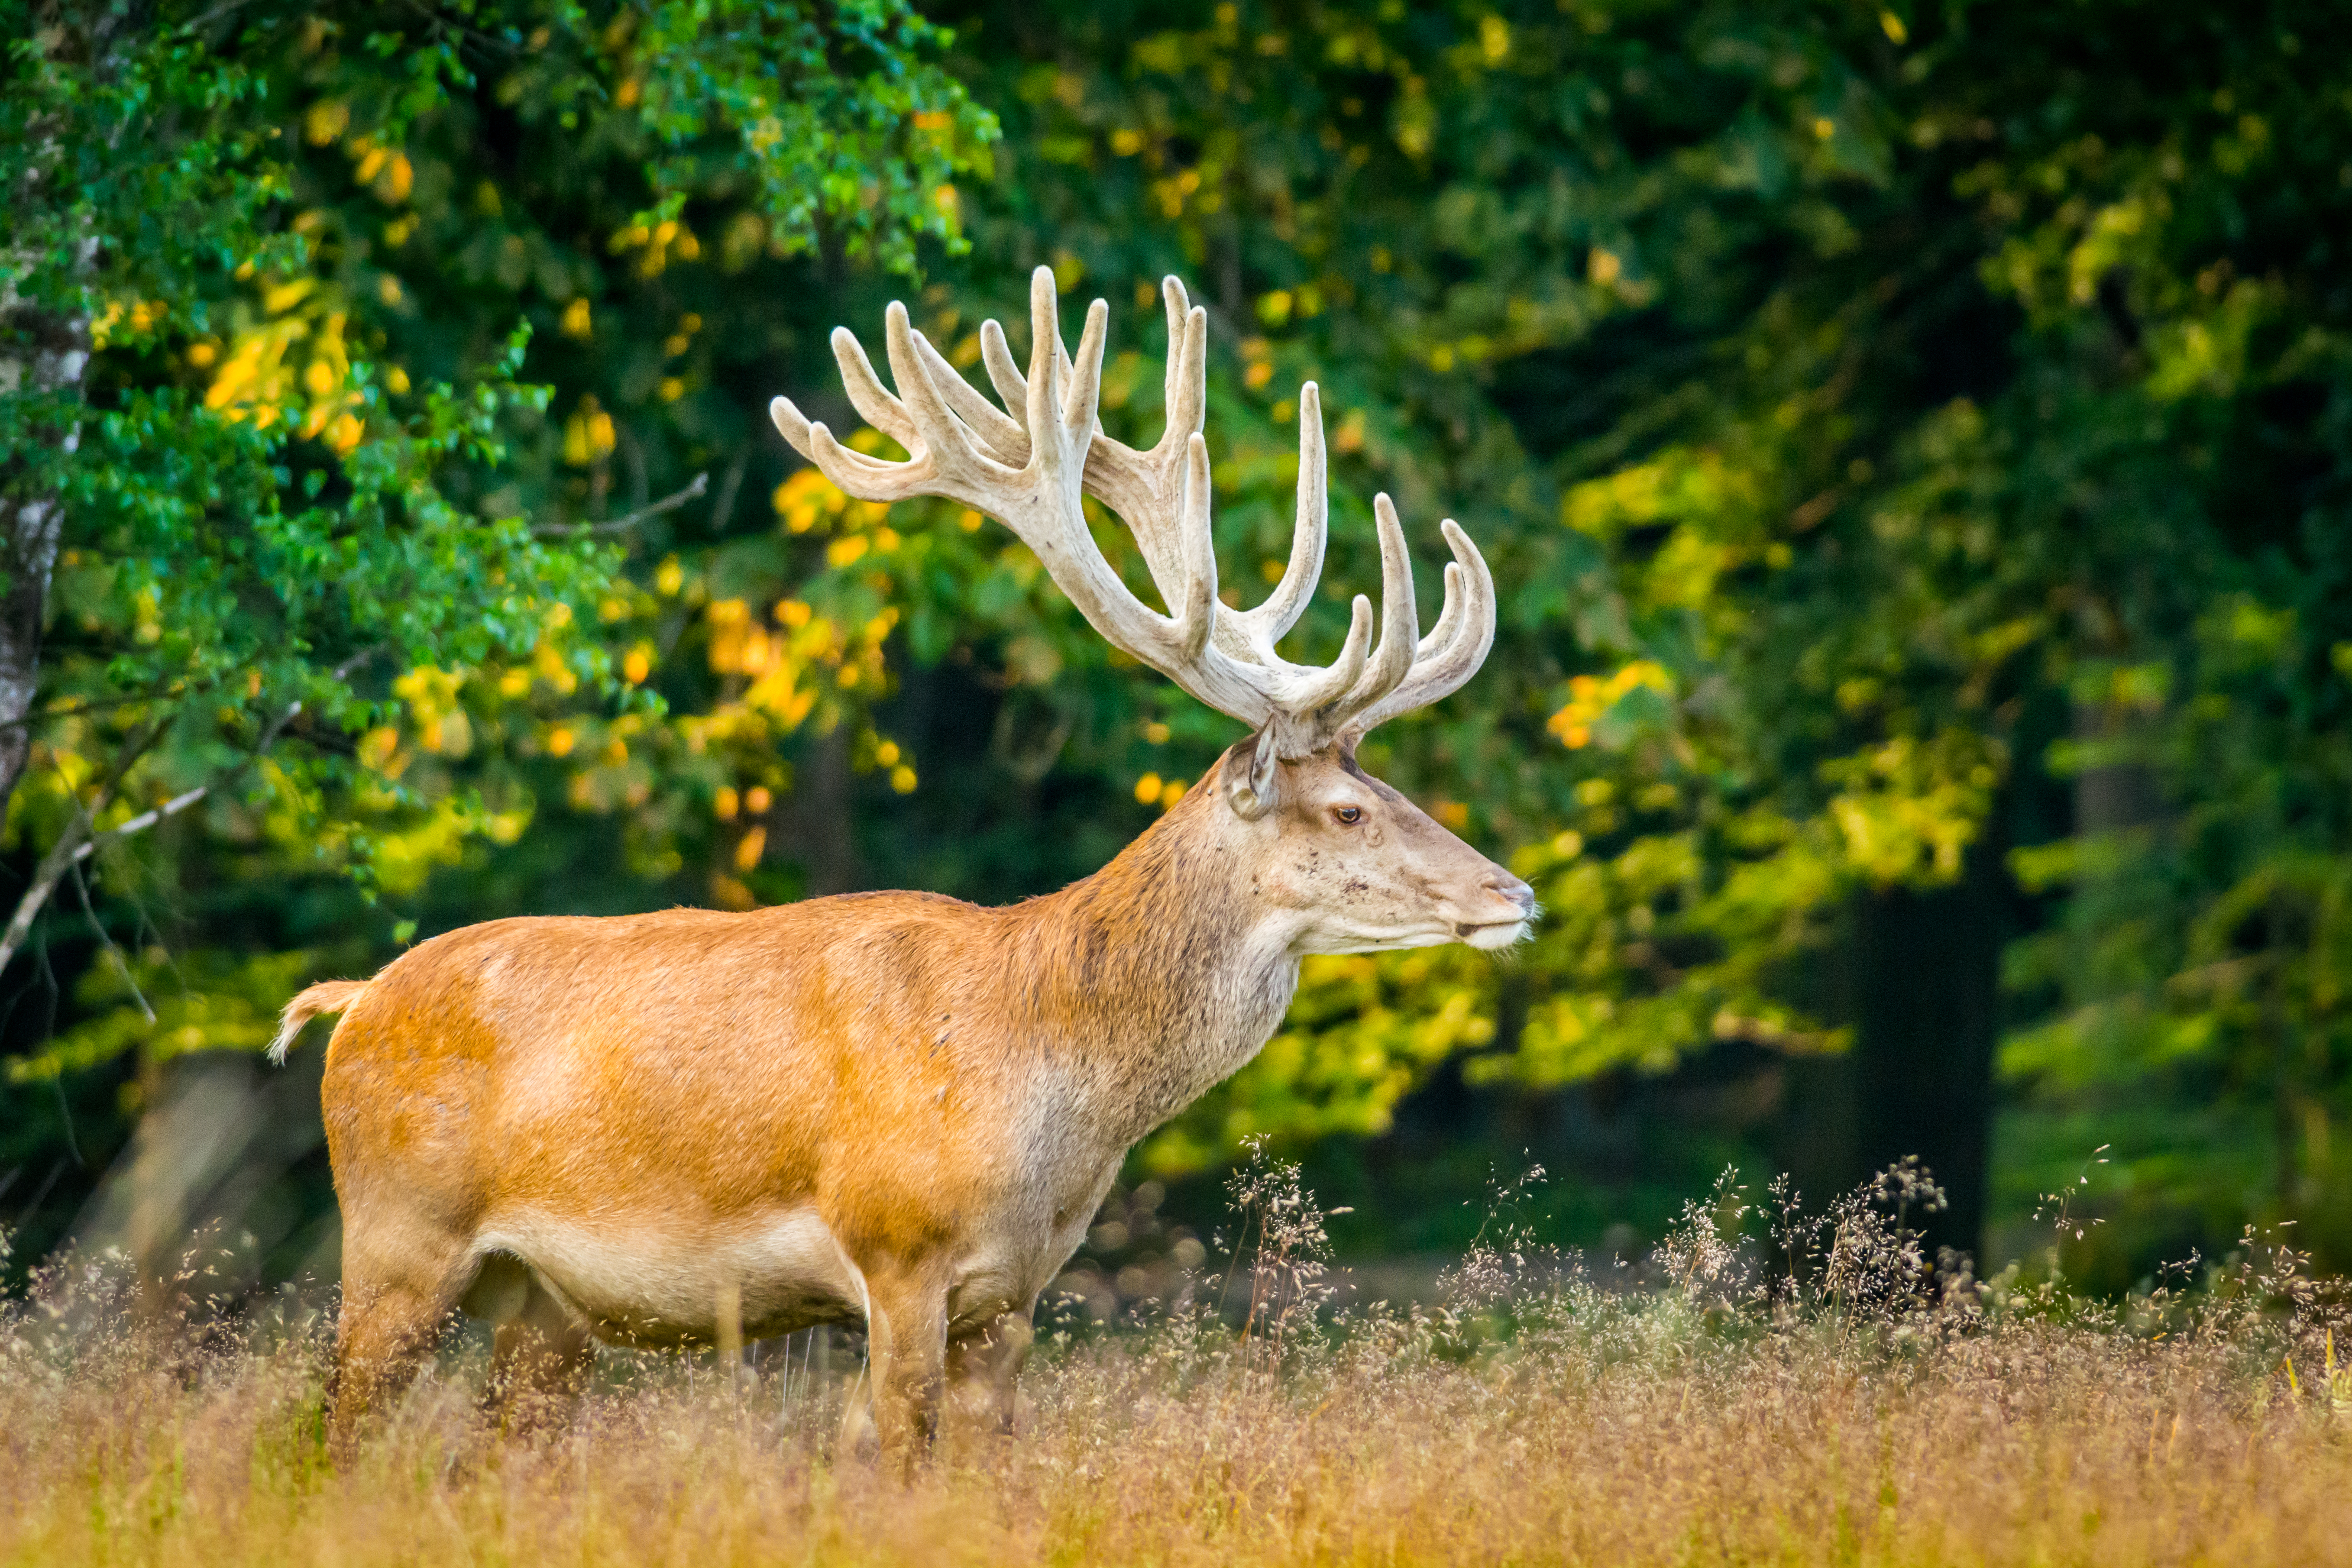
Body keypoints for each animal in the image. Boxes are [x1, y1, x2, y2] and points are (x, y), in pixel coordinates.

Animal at [275, 267, 1533, 1476]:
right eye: (1346, 807)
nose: (1511, 894)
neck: (1050, 1075)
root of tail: (348, 1004)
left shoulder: (1014, 1294)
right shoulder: (895, 1248)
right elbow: (898, 1464)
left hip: (544, 1305)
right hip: (395, 1238)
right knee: (325, 1445)